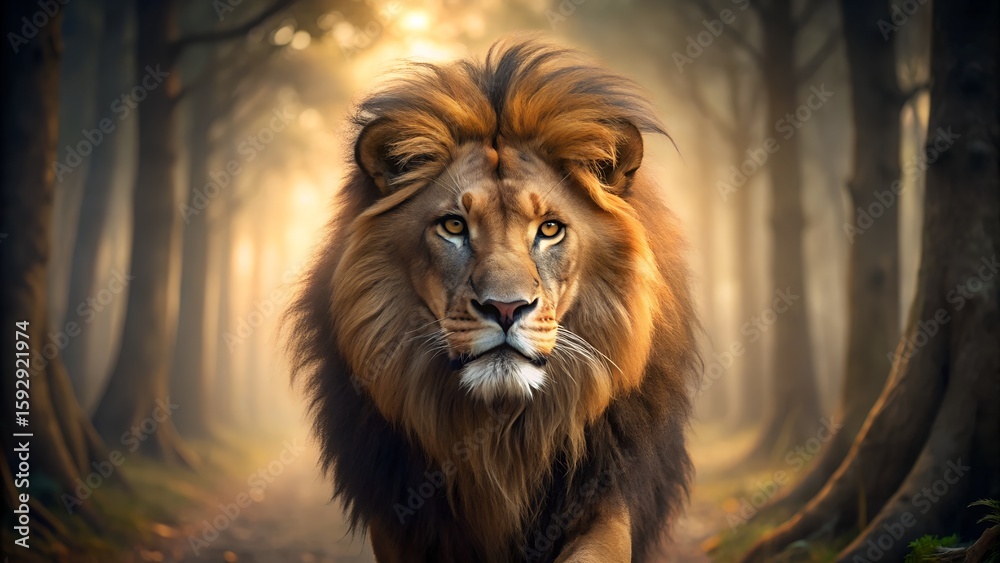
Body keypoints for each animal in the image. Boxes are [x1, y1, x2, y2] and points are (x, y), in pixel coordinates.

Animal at [286, 37, 699, 562]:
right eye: (454, 226)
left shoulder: (603, 500)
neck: (500, 436)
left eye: (550, 229)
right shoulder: (398, 522)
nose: (506, 309)